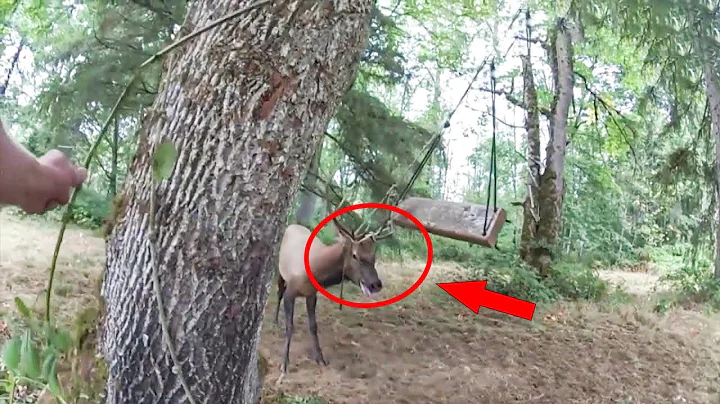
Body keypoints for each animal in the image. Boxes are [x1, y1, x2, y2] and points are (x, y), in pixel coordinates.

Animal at [274, 215, 394, 376]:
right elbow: (289, 326)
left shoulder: (312, 294)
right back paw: (275, 321)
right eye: (355, 255)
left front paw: (320, 358)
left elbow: (313, 326)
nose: (376, 284)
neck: (315, 272)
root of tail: (293, 225)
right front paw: (284, 363)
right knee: (278, 293)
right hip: (281, 273)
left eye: (373, 256)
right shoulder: (290, 292)